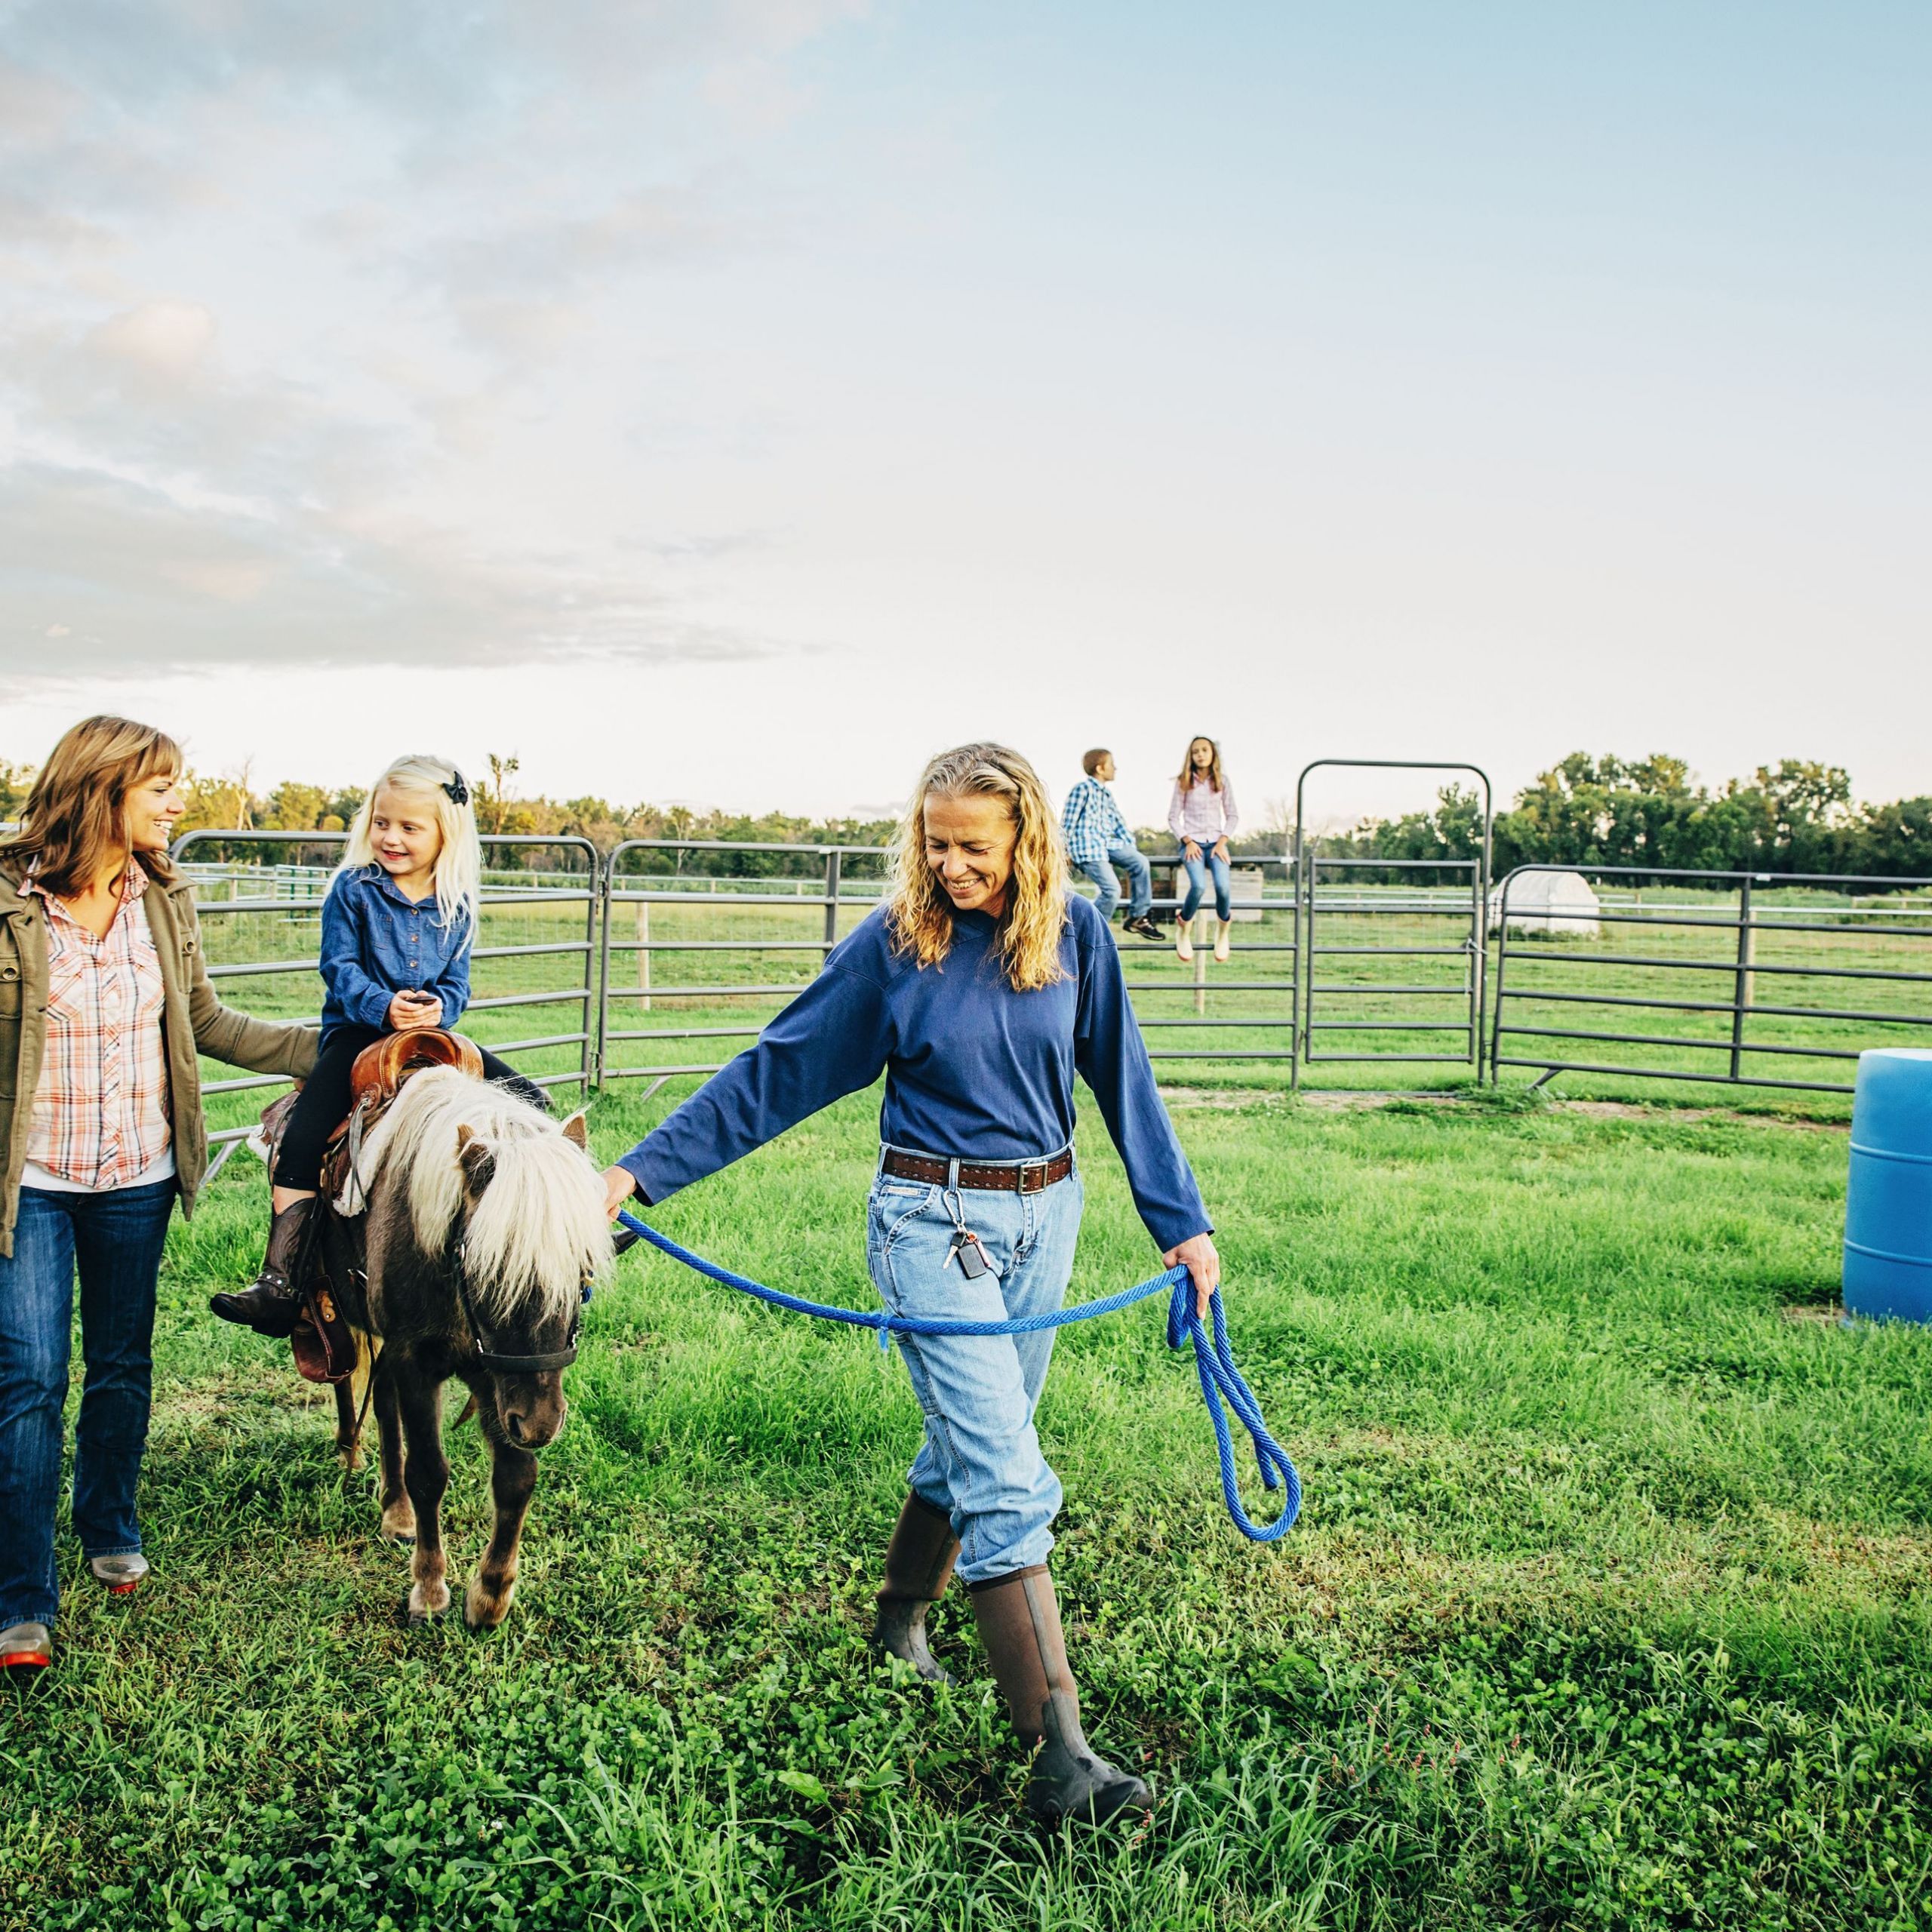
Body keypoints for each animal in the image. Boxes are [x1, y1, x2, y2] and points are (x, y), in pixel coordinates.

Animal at [318, 1066, 610, 1623]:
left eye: (582, 1269)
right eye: (485, 1271)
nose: (542, 1425)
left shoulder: (496, 1376)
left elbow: (516, 1477)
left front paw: (492, 1593)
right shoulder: (415, 1361)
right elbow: (428, 1471)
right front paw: (430, 1588)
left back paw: (395, 1511)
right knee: (359, 1391)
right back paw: (362, 1466)